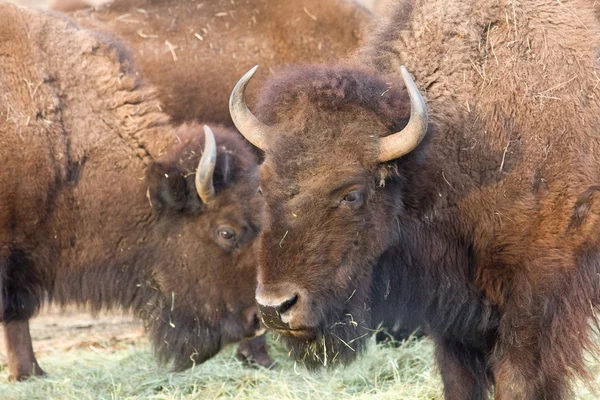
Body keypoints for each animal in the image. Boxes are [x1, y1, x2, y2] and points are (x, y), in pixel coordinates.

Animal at [229, 0, 600, 396]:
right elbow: (459, 381)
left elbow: (518, 381)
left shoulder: (537, 301)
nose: (275, 308)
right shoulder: (455, 319)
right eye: (262, 187)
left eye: (351, 194)